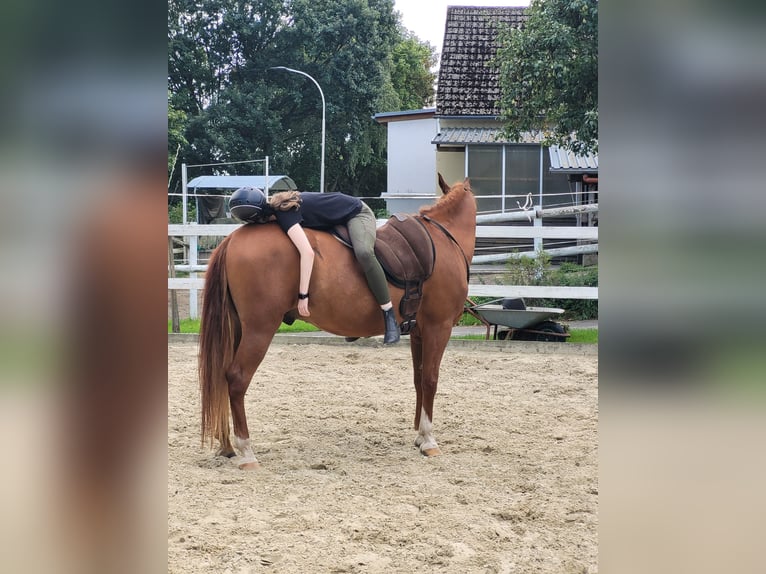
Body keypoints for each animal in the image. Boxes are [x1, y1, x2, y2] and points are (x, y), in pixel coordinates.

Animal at [198, 176, 476, 469]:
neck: (443, 240)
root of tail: (231, 239)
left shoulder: (419, 332)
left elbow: (418, 378)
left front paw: (420, 437)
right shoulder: (438, 327)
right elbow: (431, 380)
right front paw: (429, 440)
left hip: (238, 329)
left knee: (222, 378)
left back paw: (227, 445)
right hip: (259, 331)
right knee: (237, 379)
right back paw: (246, 451)